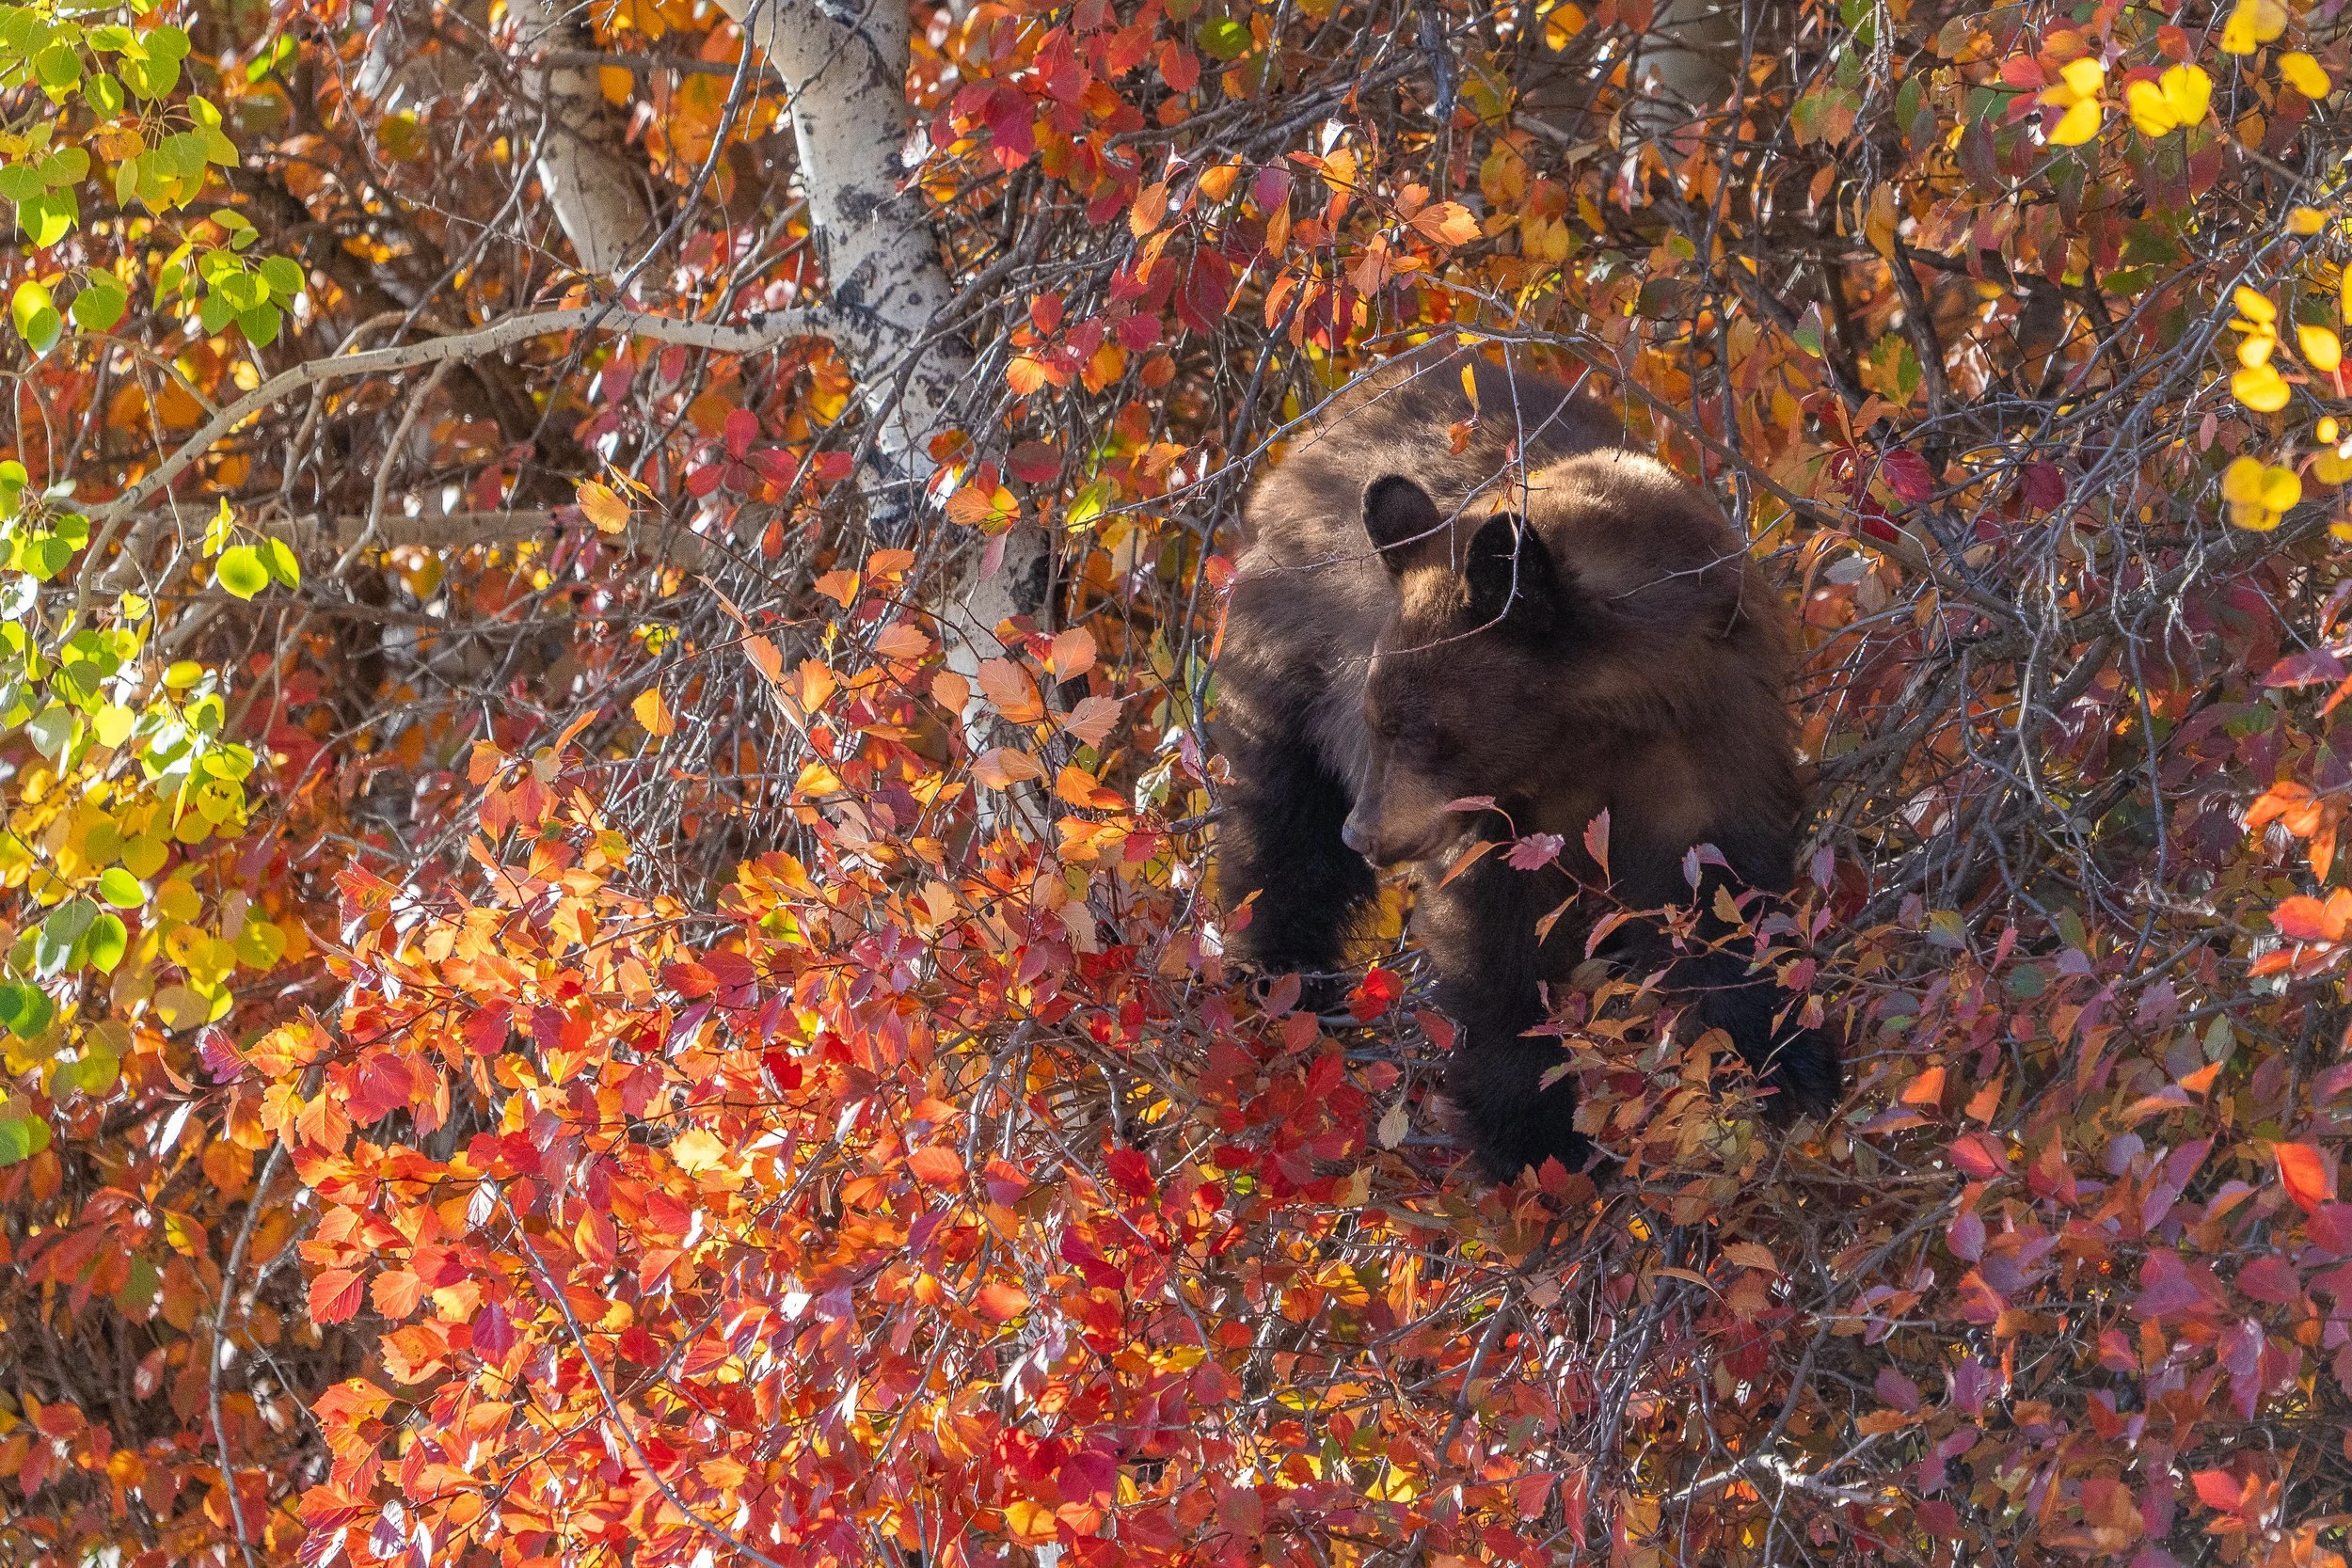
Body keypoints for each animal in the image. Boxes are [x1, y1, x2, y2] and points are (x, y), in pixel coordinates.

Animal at [1212, 342, 1841, 1181]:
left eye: (1418, 728)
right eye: (1375, 719)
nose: (1365, 833)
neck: (1591, 735)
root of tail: (1305, 444)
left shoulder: (1710, 748)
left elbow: (1722, 903)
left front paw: (1790, 1067)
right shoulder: (1491, 821)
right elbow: (1494, 951)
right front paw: (1532, 1138)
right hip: (1283, 677)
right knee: (1279, 832)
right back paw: (1277, 982)